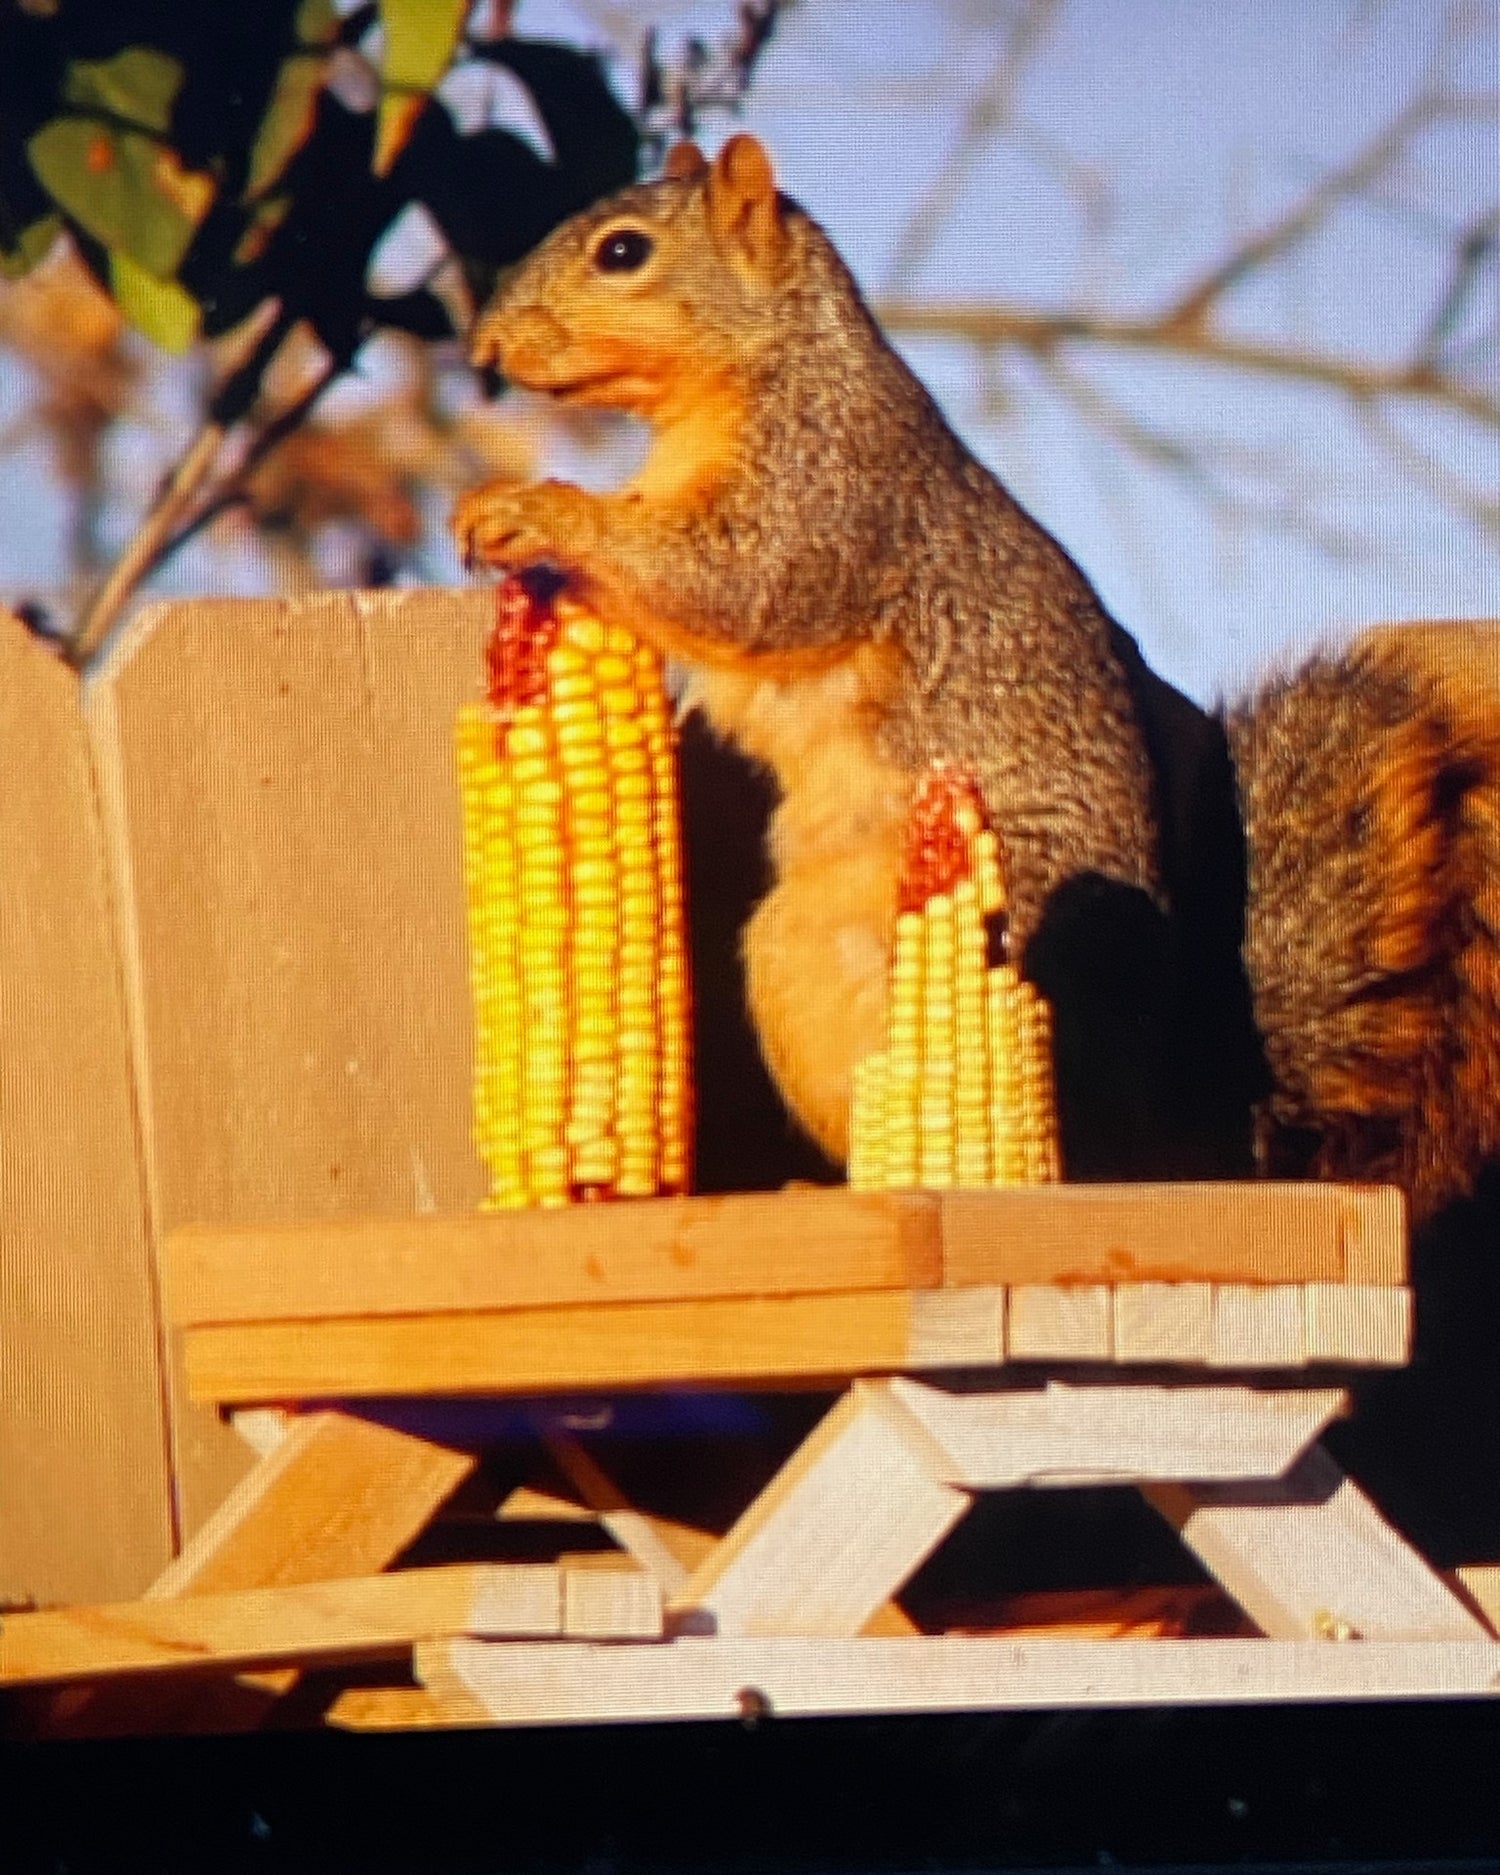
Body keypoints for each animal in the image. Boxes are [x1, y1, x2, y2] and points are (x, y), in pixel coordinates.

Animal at [453, 133, 1500, 1223]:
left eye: (623, 251)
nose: (486, 348)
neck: (762, 370)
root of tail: (1184, 1137)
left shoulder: (828, 492)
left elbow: (736, 582)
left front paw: (535, 510)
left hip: (1010, 936)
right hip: (806, 956)